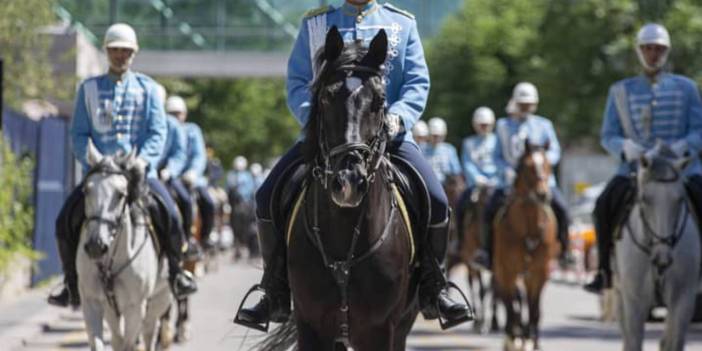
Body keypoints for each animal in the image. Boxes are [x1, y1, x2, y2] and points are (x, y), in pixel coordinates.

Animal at [76, 144, 173, 350]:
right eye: (86, 191)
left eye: (120, 195)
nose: (96, 246)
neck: (110, 264)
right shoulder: (91, 302)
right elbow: (100, 343)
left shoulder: (135, 308)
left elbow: (130, 344)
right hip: (112, 310)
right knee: (117, 338)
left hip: (158, 301)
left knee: (148, 335)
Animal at [496, 144, 560, 351]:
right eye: (527, 166)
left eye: (548, 165)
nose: (542, 194)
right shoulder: (508, 271)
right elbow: (511, 306)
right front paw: (514, 338)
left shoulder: (540, 272)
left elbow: (534, 308)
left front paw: (532, 340)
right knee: (510, 303)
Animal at [616, 143, 700, 351]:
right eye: (645, 199)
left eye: (680, 199)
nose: (663, 258)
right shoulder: (634, 301)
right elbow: (633, 342)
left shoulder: (683, 298)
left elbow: (673, 343)